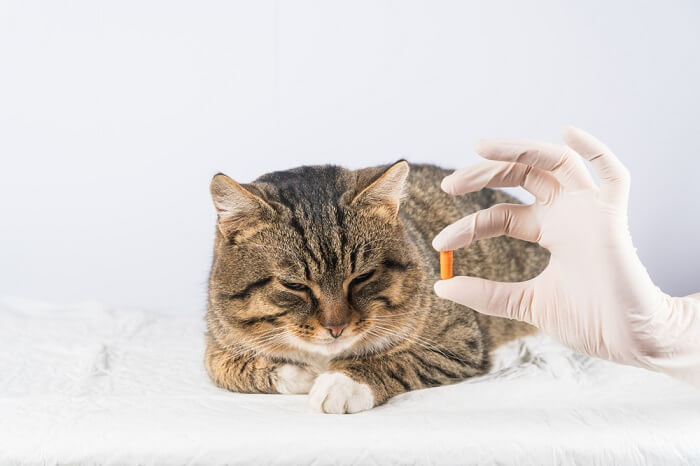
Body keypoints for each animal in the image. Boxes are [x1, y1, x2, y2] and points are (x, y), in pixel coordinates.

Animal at [205, 162, 548, 414]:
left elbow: (399, 361)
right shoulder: (217, 339)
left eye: (362, 277)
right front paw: (303, 373)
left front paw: (342, 382)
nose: (336, 327)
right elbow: (222, 366)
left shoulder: (459, 340)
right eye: (293, 285)